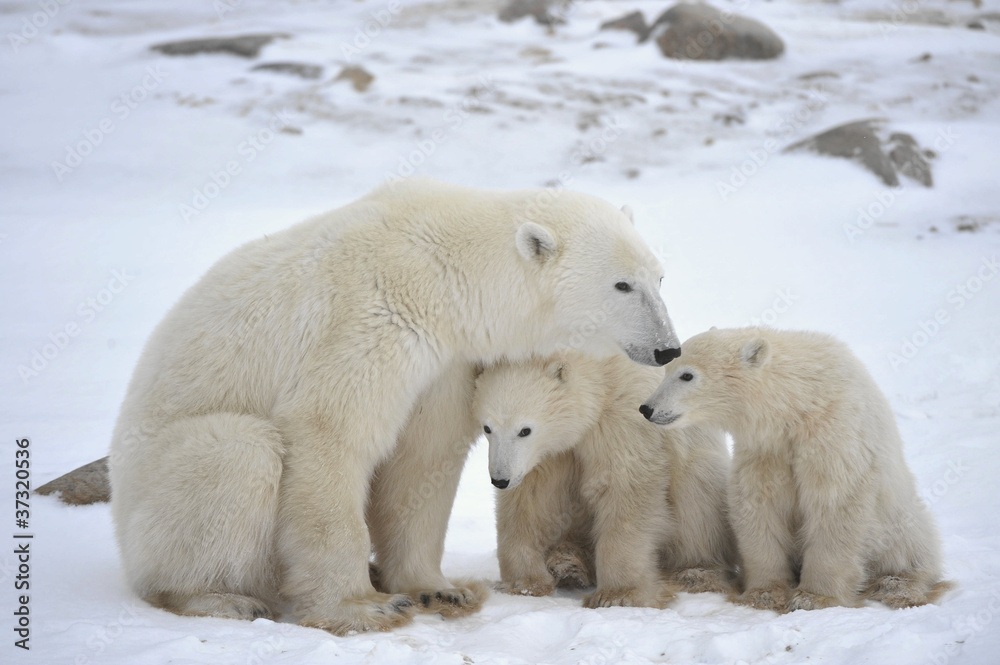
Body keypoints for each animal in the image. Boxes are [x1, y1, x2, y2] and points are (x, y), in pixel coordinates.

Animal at [109, 179, 680, 636]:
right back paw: (218, 596)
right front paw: (363, 608)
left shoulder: (447, 361)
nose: (668, 349)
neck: (445, 270)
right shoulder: (371, 317)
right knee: (237, 452)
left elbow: (423, 459)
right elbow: (331, 432)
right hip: (154, 494)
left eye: (659, 277)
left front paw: (439, 589)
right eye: (621, 284)